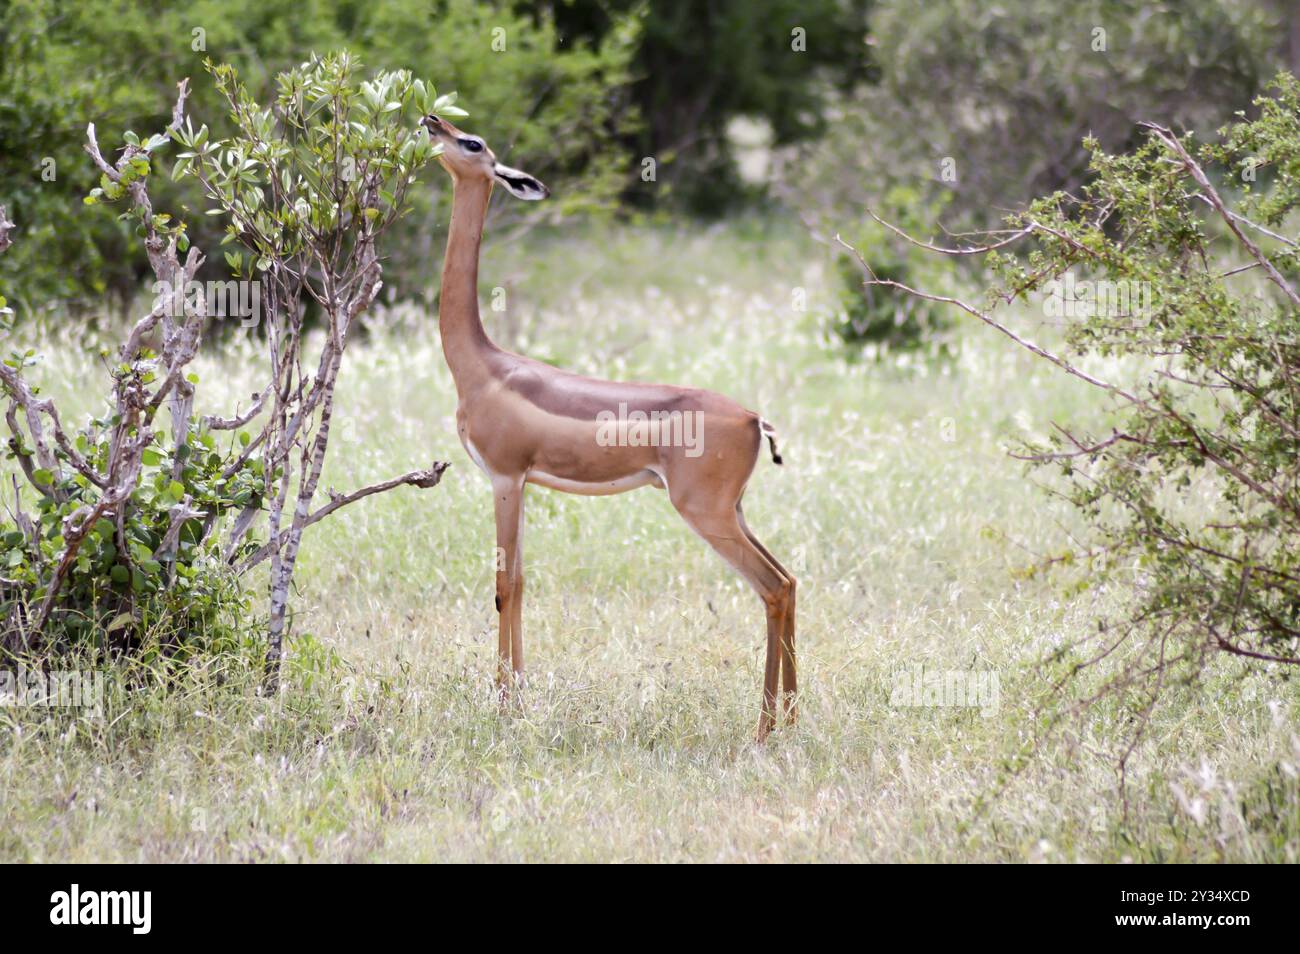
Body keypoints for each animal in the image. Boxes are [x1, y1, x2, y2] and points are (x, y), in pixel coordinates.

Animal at [421, 111, 795, 738]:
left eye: (471, 143)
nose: (431, 119)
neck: (482, 365)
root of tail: (753, 418)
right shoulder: (522, 484)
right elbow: (522, 583)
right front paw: (518, 701)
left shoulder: (504, 478)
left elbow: (504, 586)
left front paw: (505, 707)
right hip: (736, 511)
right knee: (788, 580)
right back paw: (791, 718)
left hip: (704, 513)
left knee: (771, 587)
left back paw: (765, 728)